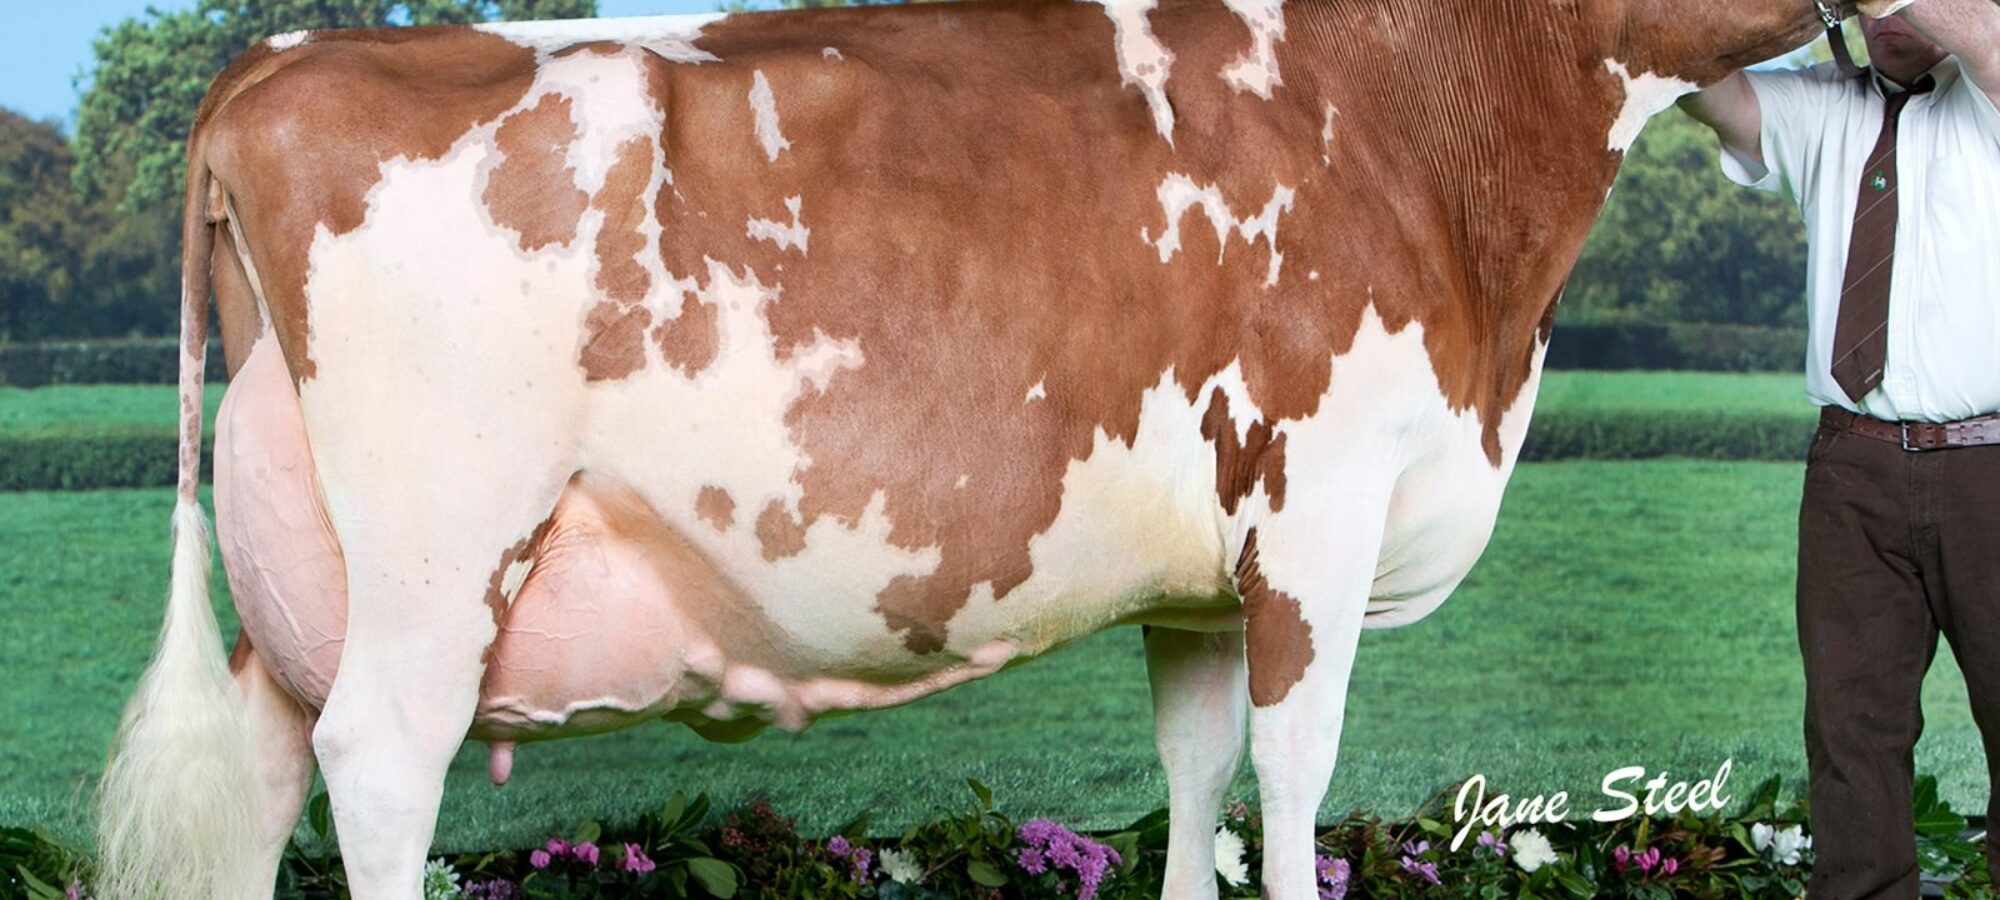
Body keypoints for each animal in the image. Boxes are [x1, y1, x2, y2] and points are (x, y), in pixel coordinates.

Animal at [93, 0, 1846, 896]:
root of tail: (284, 58)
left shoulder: (1203, 577)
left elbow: (1196, 774)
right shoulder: (1319, 503)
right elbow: (1294, 780)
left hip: (309, 581)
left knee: (262, 776)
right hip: (437, 551)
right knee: (383, 770)